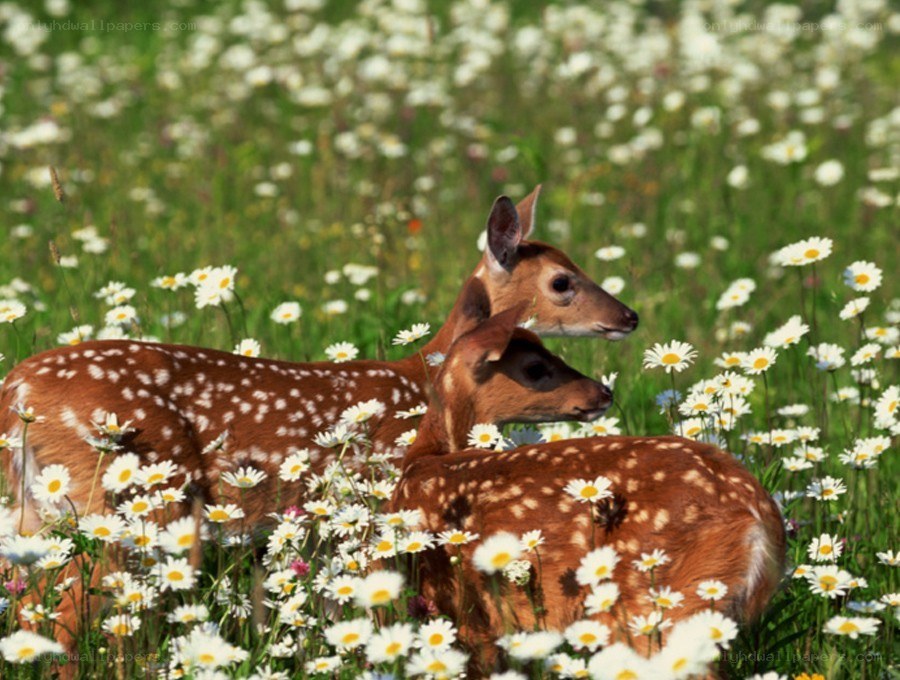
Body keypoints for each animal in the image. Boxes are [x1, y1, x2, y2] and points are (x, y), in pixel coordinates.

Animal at [390, 304, 786, 664]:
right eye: (535, 367)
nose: (604, 392)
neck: (425, 458)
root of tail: (759, 515)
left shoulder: (468, 615)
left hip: (658, 600)